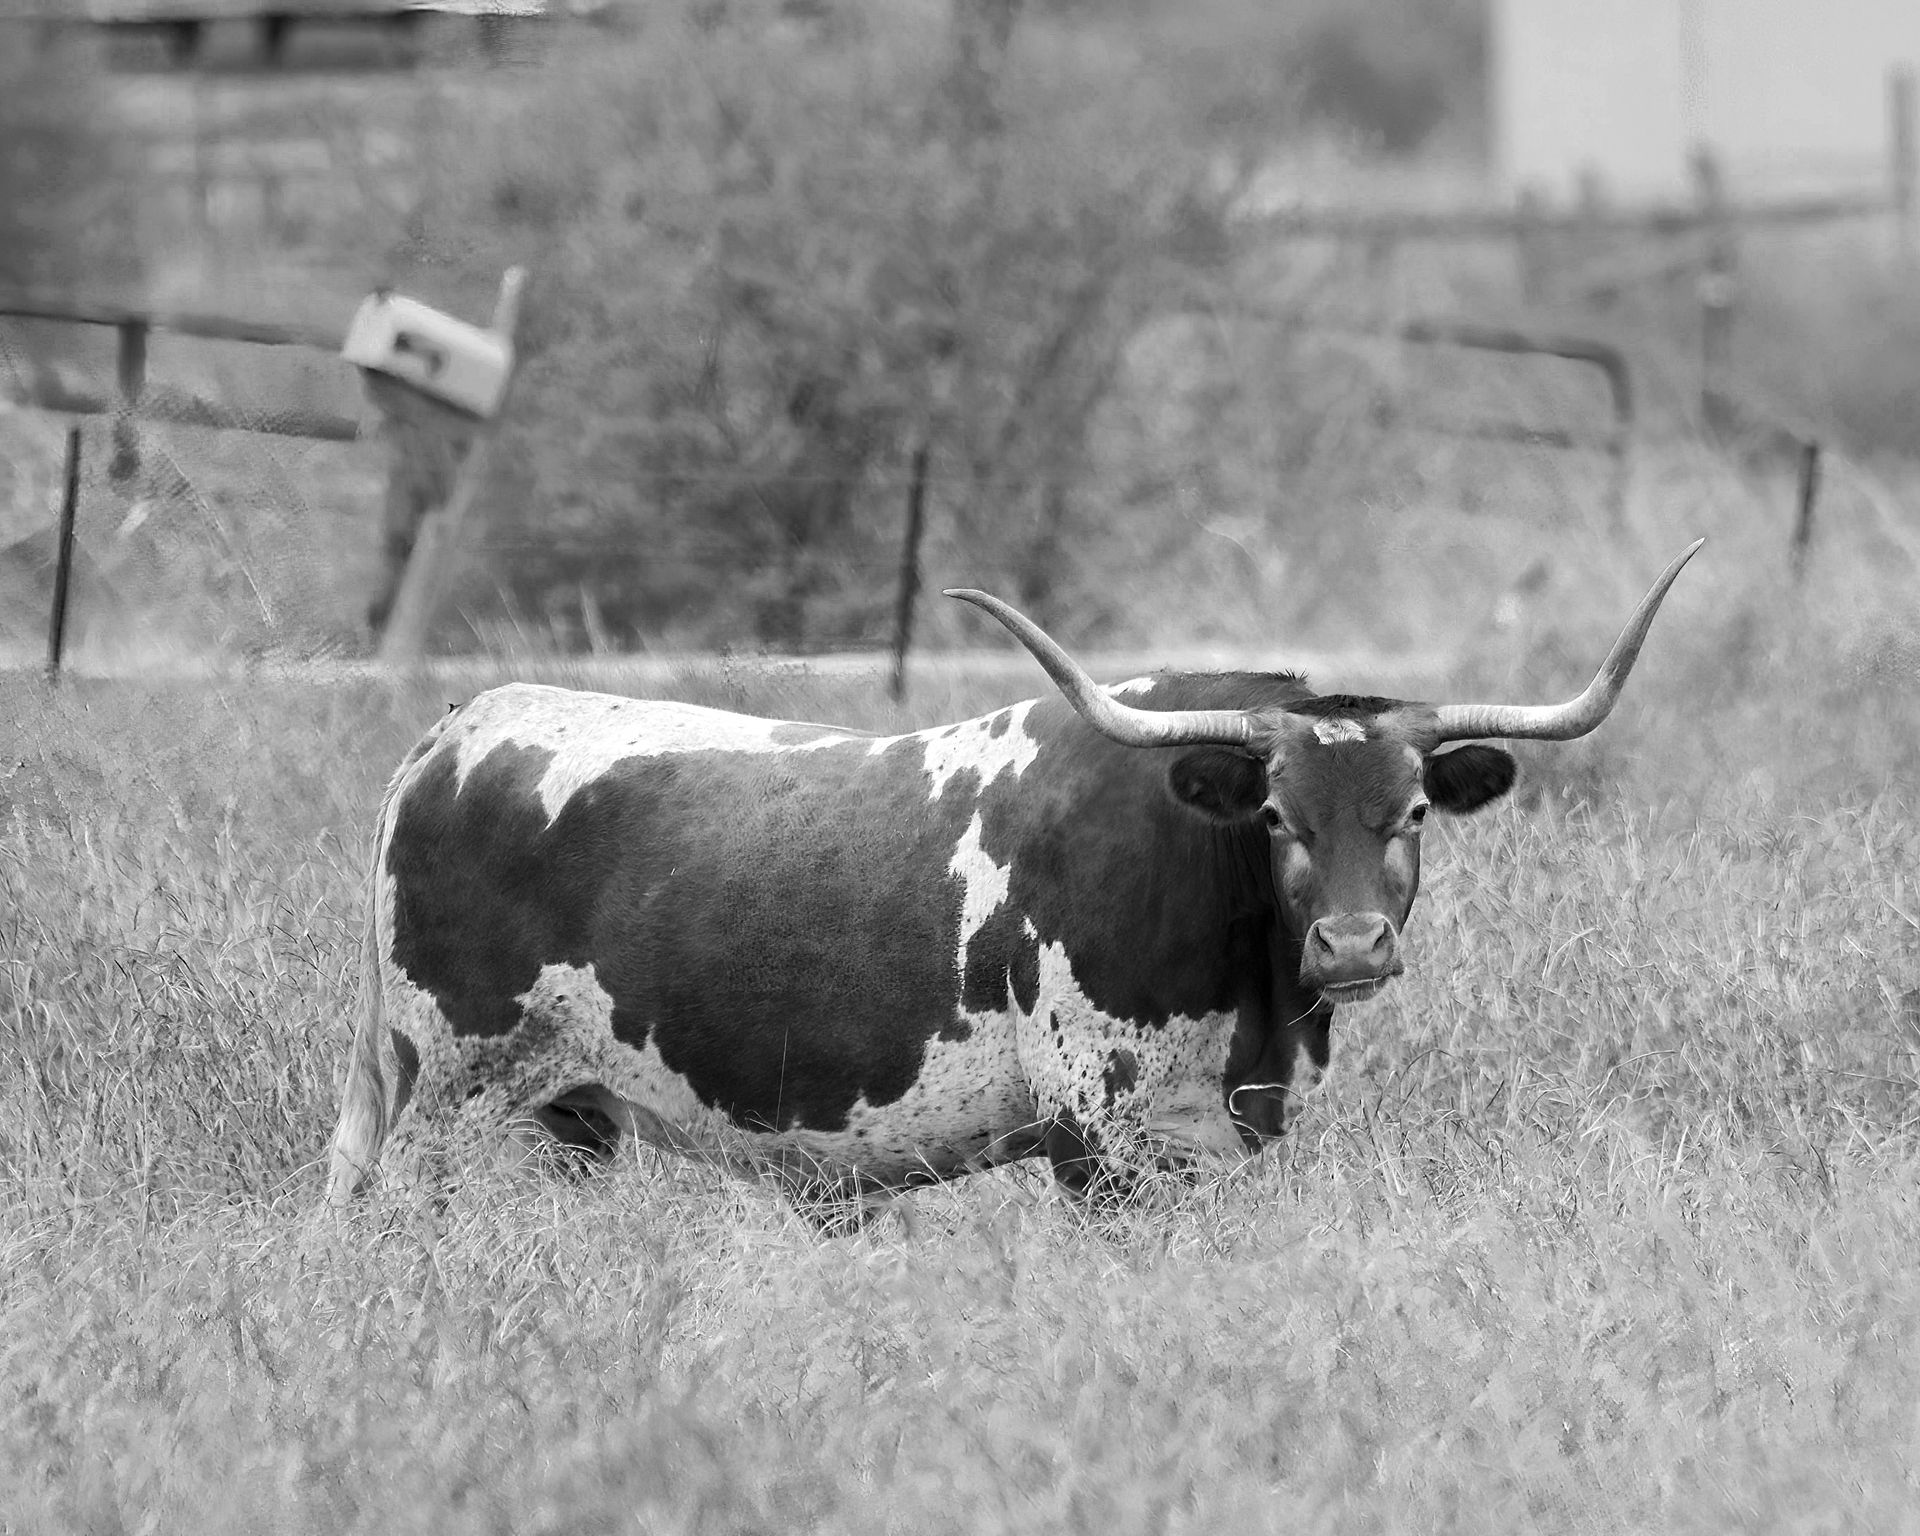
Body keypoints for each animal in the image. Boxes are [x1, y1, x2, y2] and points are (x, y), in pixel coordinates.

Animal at [327, 540, 1701, 1211]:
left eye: (1412, 811)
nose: (1354, 946)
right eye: (1275, 815)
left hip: (564, 1119)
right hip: (447, 1096)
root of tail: (458, 726)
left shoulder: (1230, 1137)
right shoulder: (1098, 1137)